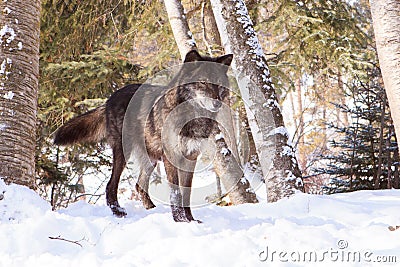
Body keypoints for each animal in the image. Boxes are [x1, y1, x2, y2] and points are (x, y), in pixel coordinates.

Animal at [54, 51, 233, 223]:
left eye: (219, 83)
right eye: (203, 82)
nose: (217, 104)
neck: (192, 117)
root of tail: (110, 98)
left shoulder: (191, 156)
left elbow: (186, 193)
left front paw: (191, 219)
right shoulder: (171, 156)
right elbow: (176, 192)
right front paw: (180, 220)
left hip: (150, 158)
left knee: (139, 185)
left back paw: (151, 210)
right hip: (123, 152)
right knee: (111, 185)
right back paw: (118, 212)